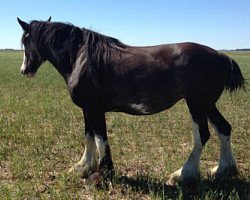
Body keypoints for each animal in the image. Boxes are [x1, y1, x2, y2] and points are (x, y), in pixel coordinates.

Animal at [17, 18, 244, 185]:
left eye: (26, 41)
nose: (24, 70)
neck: (81, 58)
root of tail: (222, 57)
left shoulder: (94, 109)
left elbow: (100, 139)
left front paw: (102, 175)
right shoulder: (86, 109)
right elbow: (88, 137)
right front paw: (83, 167)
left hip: (196, 105)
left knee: (202, 135)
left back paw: (183, 174)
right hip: (207, 105)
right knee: (224, 128)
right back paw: (223, 169)